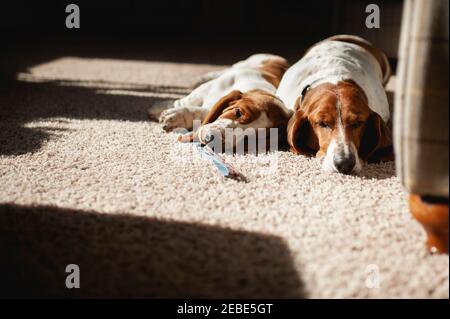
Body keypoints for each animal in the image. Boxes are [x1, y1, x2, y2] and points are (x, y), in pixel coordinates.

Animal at [157, 53, 292, 146]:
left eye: (251, 138)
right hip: (246, 62)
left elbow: (204, 111)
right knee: (225, 70)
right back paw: (200, 78)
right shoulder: (211, 87)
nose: (211, 139)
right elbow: (185, 102)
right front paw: (171, 114)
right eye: (238, 112)